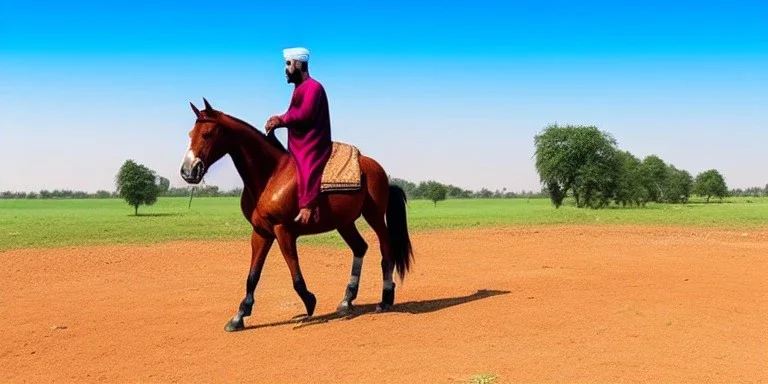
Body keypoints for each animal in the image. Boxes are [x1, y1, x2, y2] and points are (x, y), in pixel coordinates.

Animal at [178, 99, 414, 332]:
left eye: (207, 134)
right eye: (190, 134)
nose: (188, 171)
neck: (272, 175)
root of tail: (377, 169)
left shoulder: (283, 230)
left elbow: (295, 275)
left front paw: (310, 303)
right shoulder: (261, 232)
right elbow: (253, 275)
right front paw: (239, 316)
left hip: (374, 216)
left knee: (386, 251)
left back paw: (385, 299)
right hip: (345, 223)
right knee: (360, 248)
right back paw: (347, 300)